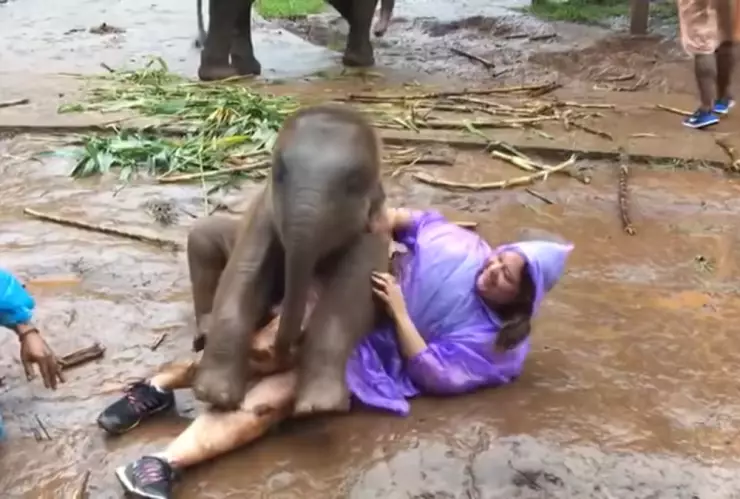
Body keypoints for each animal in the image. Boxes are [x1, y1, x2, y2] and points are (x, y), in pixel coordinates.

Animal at [191, 104, 390, 416]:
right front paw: (215, 395)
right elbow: (242, 278)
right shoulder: (262, 216)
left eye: (353, 184)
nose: (273, 350)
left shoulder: (373, 236)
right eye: (279, 173)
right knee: (200, 238)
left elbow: (347, 302)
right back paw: (203, 334)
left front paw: (319, 407)